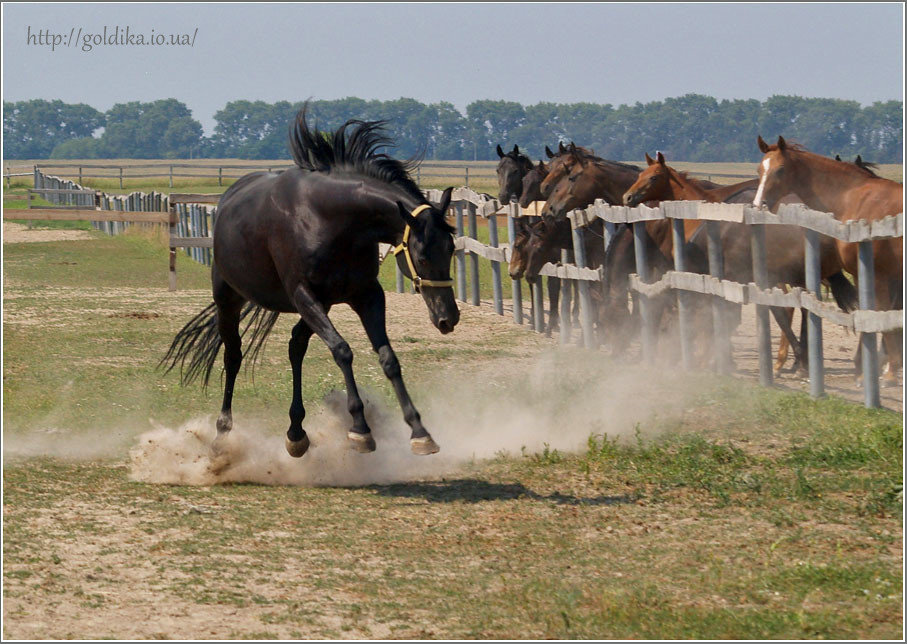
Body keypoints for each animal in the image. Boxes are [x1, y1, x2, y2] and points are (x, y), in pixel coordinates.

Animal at [161, 107, 462, 458]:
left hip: (319, 306)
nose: (447, 318)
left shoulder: (366, 295)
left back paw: (296, 432)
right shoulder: (304, 295)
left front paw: (419, 431)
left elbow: (388, 358)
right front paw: (360, 429)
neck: (330, 219)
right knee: (233, 356)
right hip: (232, 299)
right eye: (423, 257)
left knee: (295, 347)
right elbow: (343, 351)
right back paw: (222, 434)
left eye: (451, 249)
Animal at [756, 136, 904, 384]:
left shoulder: (877, 275)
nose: (759, 204)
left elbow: (879, 315)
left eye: (781, 169)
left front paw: (887, 371)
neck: (854, 198)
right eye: (760, 169)